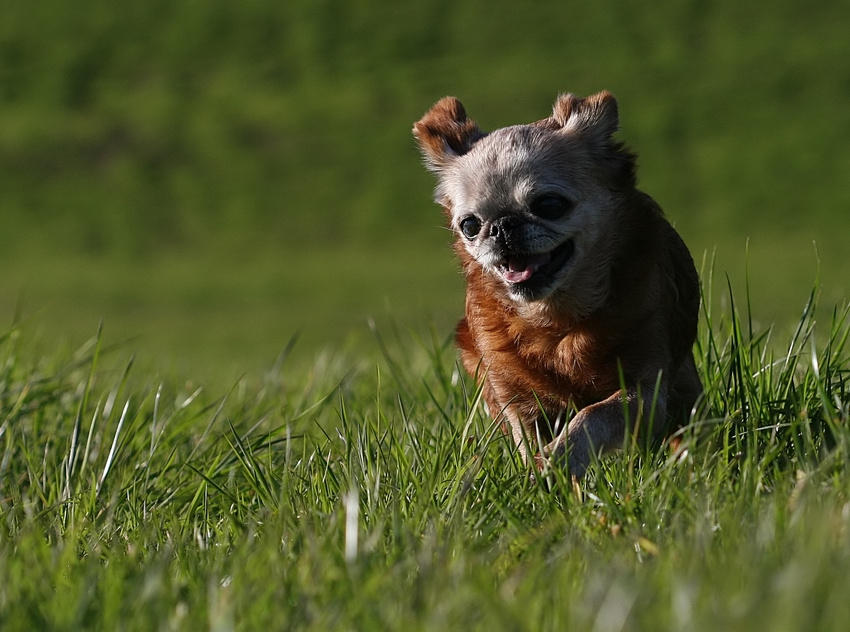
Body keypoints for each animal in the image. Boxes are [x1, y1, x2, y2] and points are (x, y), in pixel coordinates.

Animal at [414, 91, 700, 476]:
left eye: (549, 204)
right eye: (470, 225)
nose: (502, 226)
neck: (554, 317)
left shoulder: (646, 389)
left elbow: (593, 415)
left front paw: (560, 459)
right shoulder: (516, 398)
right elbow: (527, 436)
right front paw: (540, 472)